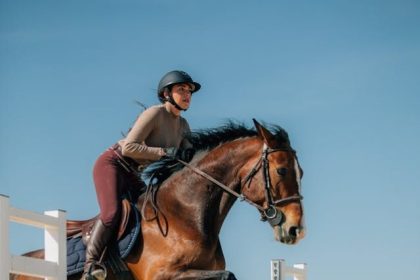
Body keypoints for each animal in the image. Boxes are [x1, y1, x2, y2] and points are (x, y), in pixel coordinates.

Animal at [13, 119, 306, 278]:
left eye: (300, 172)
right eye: (281, 170)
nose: (296, 229)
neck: (186, 217)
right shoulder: (161, 274)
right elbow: (228, 275)